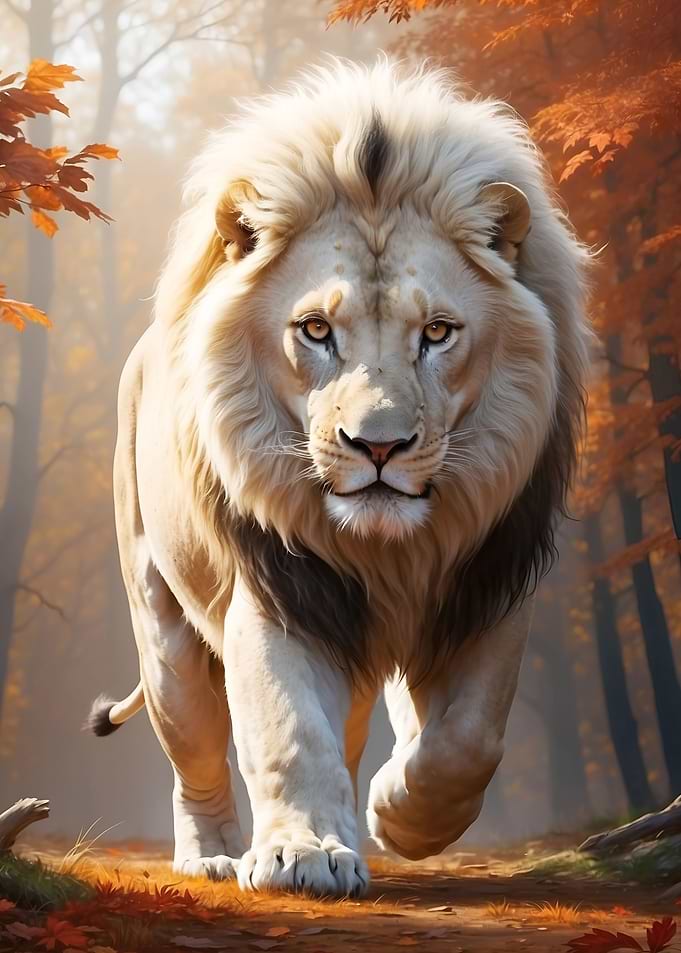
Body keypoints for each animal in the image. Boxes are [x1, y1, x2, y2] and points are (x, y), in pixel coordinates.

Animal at [89, 59, 590, 897]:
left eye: (437, 332)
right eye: (316, 330)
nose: (377, 446)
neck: (388, 553)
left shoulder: (488, 585)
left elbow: (468, 737)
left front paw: (401, 815)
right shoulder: (281, 591)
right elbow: (289, 729)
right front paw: (305, 853)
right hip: (163, 630)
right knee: (194, 754)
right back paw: (215, 853)